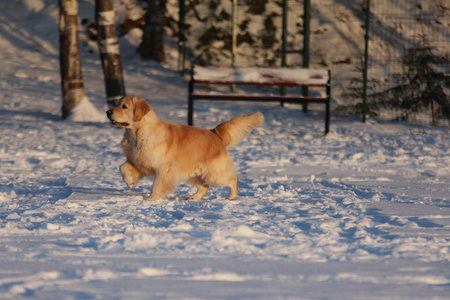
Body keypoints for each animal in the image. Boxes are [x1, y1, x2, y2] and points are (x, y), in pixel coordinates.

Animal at [106, 95, 264, 200]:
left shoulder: (165, 168)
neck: (137, 134)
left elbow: (157, 184)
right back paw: (193, 197)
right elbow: (122, 167)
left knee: (232, 180)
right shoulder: (139, 161)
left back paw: (231, 197)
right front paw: (129, 182)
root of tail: (214, 133)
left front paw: (152, 199)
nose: (108, 112)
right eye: (117, 104)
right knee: (205, 186)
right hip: (192, 173)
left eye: (124, 107)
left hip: (214, 173)